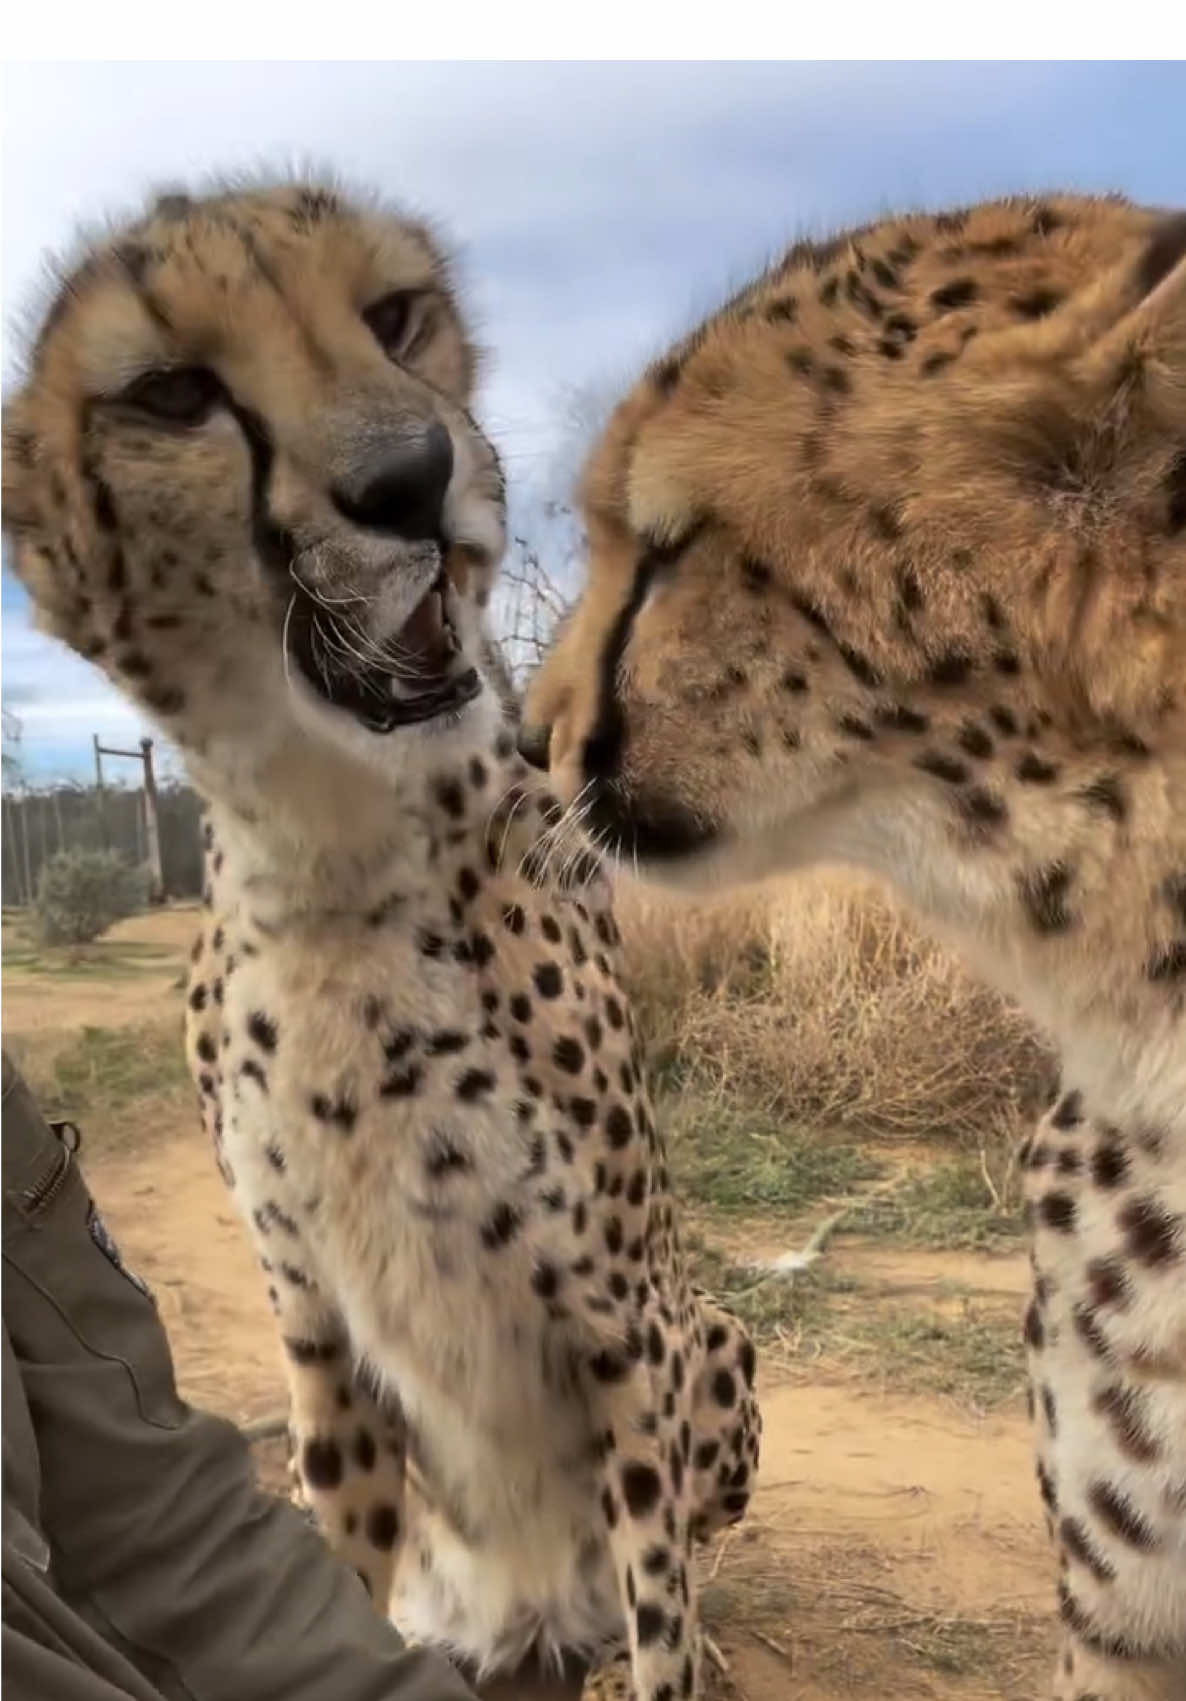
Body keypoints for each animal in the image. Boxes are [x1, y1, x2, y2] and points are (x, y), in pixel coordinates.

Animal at [0, 177, 760, 1701]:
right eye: (172, 394)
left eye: (395, 316)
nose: (414, 478)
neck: (332, 850)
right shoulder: (317, 1326)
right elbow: (322, 1566)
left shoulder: (624, 1322)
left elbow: (658, 1601)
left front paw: (673, 1651)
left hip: (710, 1327)